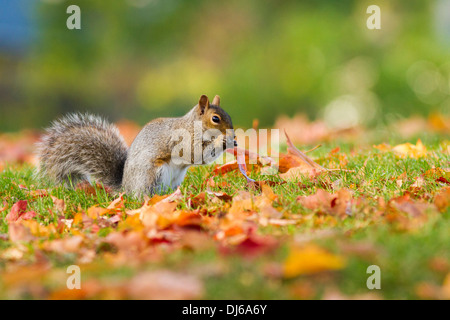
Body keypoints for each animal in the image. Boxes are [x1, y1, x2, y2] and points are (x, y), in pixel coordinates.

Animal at [36, 94, 236, 196]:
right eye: (215, 119)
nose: (233, 133)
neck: (192, 125)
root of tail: (125, 187)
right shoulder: (183, 141)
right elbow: (195, 154)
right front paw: (222, 140)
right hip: (153, 173)